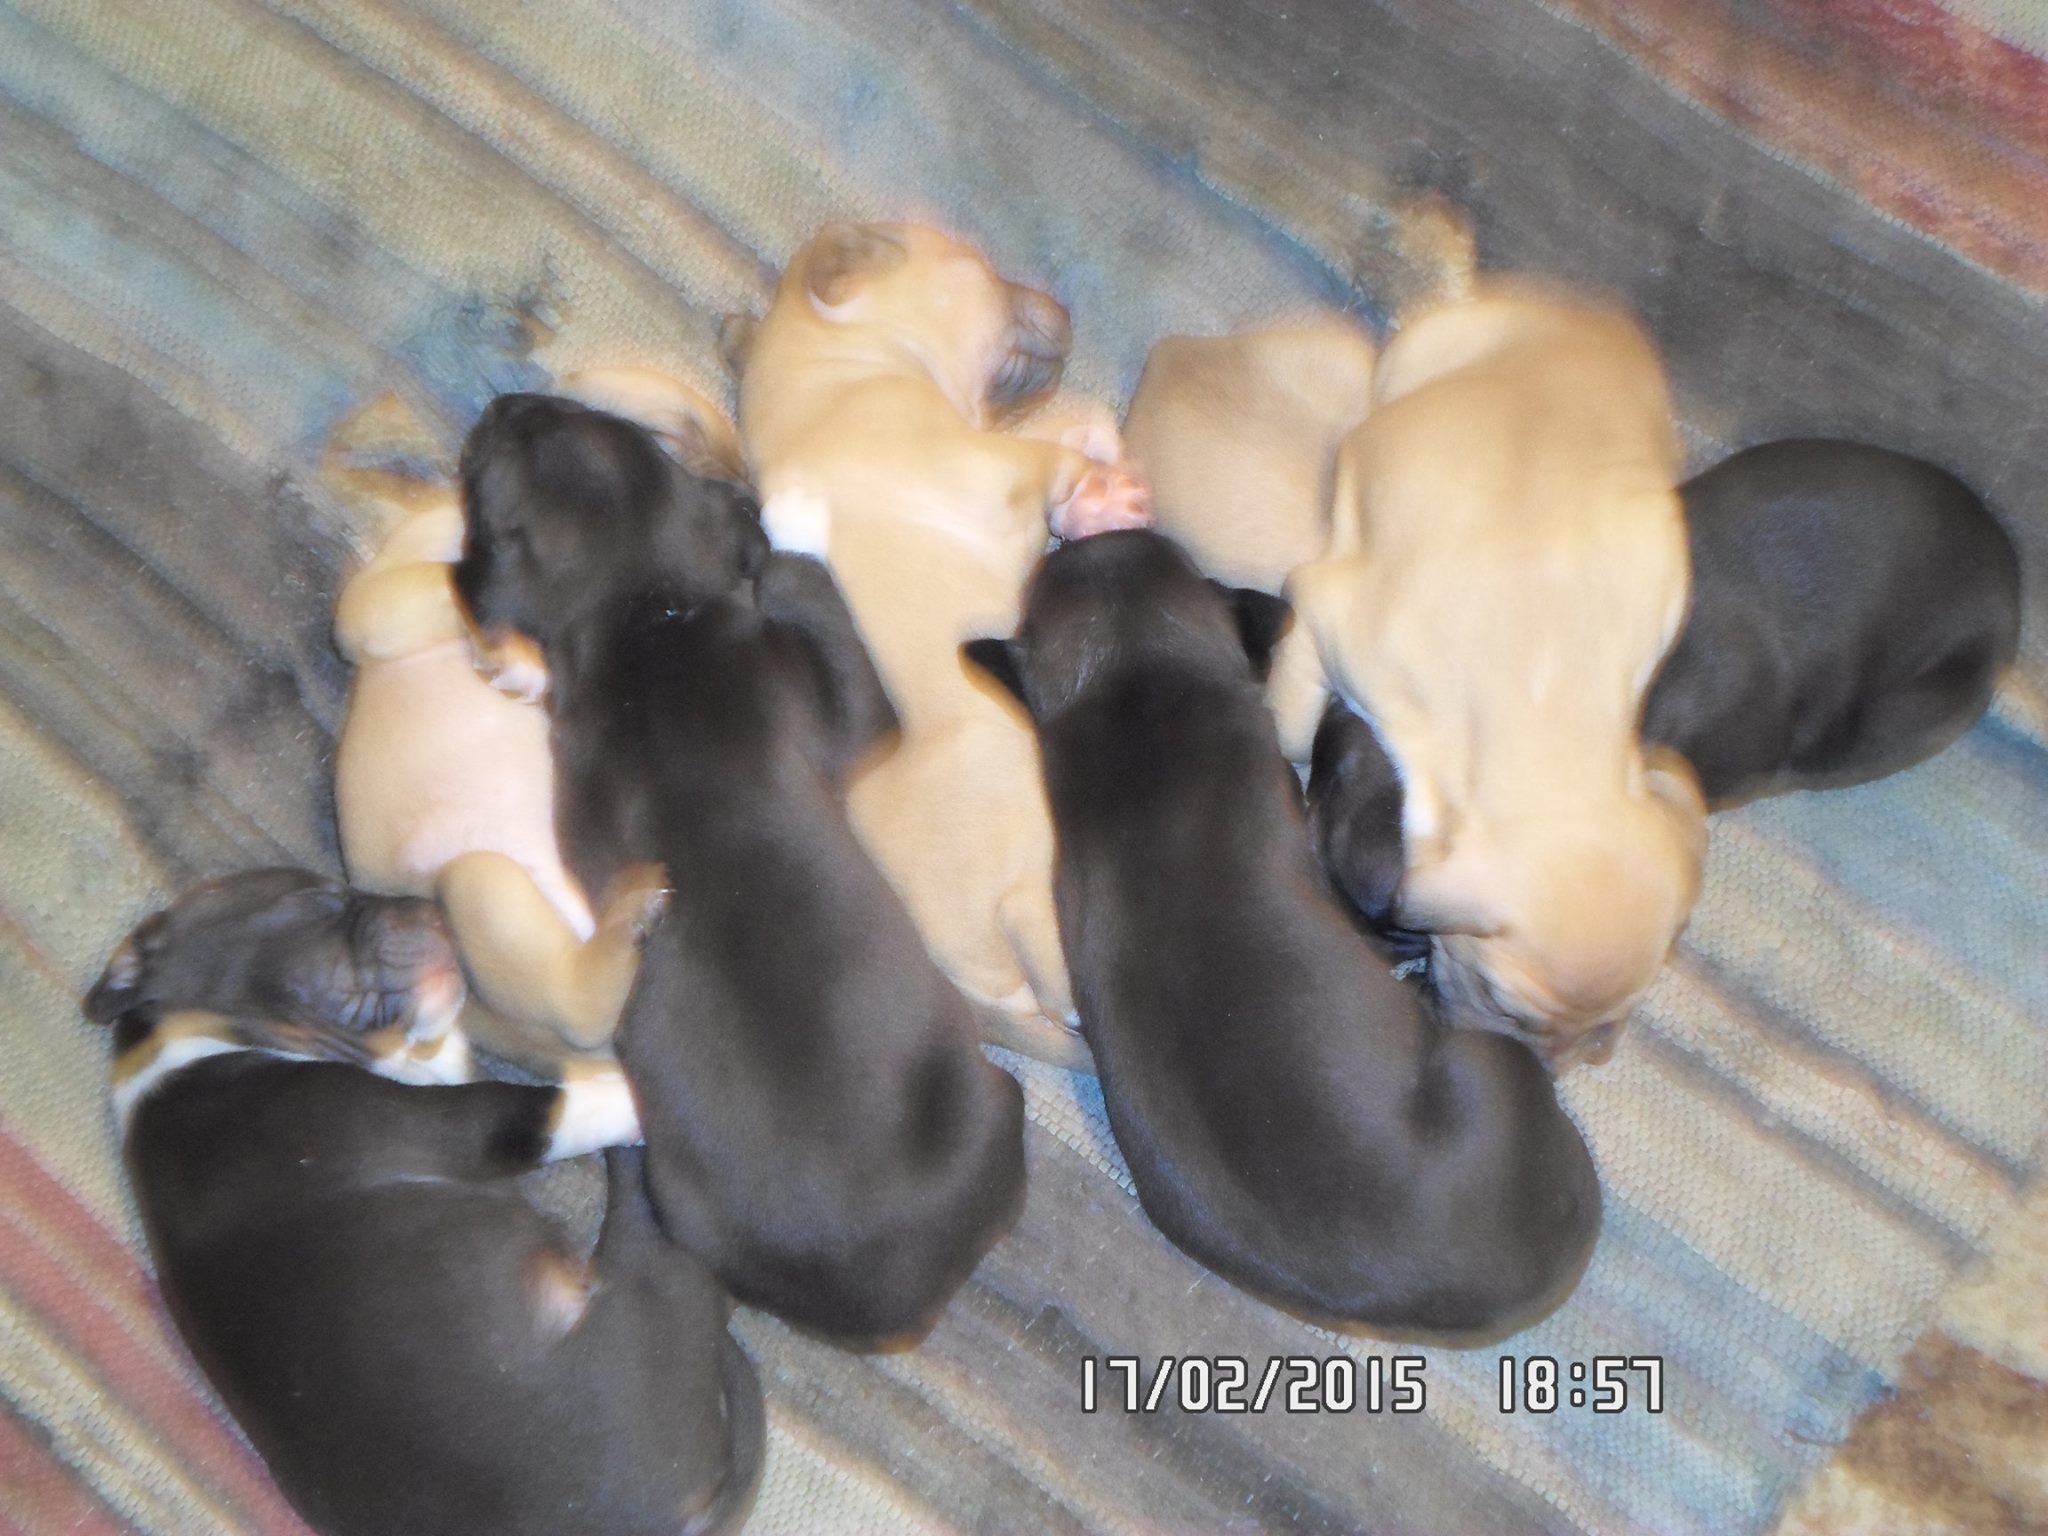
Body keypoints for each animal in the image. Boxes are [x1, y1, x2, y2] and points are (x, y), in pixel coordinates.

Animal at [86, 869, 763, 1536]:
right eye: (314, 898)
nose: (433, 905)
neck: (190, 1033)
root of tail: (683, 1515)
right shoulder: (470, 1121)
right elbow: (558, 1102)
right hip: (645, 1290)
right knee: (660, 1229)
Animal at [454, 393, 1027, 1346]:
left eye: (551, 416)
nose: (502, 402)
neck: (642, 614)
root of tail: (895, 1307)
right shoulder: (845, 705)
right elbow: (820, 608)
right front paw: (796, 513)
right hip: (992, 1102)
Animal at [730, 221, 1150, 1069]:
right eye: (977, 262)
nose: (1065, 307)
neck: (838, 374)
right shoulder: (989, 466)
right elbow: (1051, 458)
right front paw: (1105, 493)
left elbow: (1067, 427)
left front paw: (1100, 453)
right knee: (1065, 979)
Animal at [1267, 289, 1706, 1068]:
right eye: (1504, 1003)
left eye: (1603, 1027)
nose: (1537, 1074)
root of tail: (1587, 313)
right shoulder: (1323, 612)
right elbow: (1290, 721)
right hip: (1417, 356)